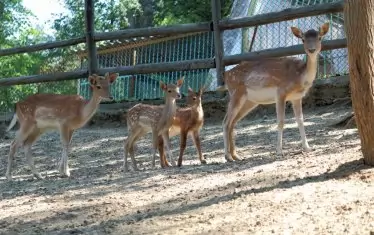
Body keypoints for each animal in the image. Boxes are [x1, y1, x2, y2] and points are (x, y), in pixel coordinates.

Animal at [218, 22, 328, 162]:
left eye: (319, 37)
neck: (300, 77)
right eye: (303, 39)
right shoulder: (280, 92)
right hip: (236, 93)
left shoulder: (296, 97)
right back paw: (227, 156)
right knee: (226, 122)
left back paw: (236, 155)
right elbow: (281, 121)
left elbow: (301, 120)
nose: (311, 49)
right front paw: (279, 151)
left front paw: (308, 148)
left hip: (249, 101)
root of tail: (226, 75)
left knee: (233, 122)